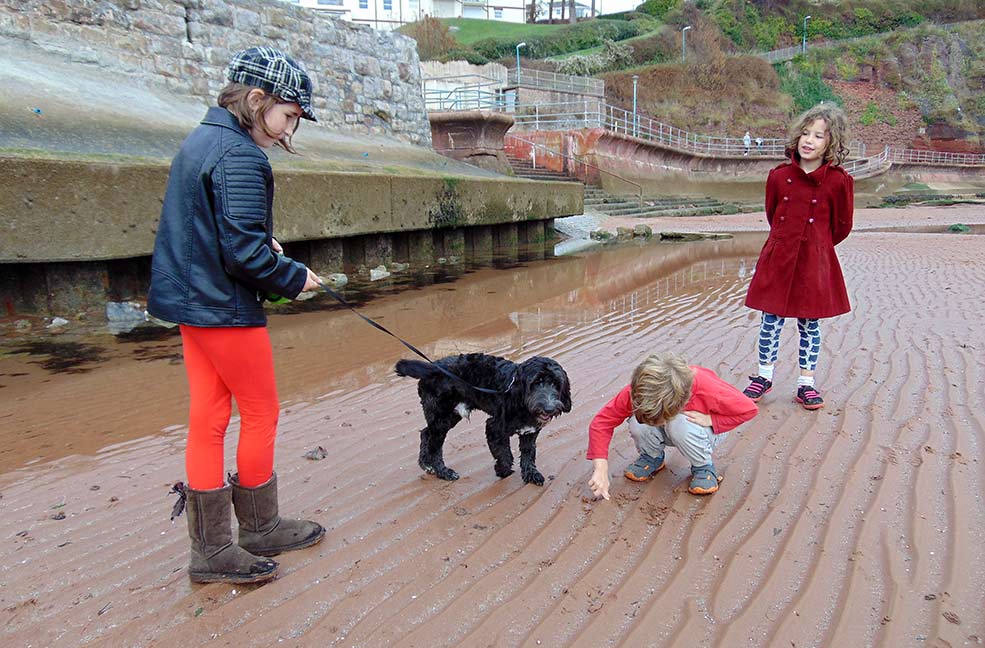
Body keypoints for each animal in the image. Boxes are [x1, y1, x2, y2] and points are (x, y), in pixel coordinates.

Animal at [396, 354, 572, 486]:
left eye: (556, 384)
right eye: (536, 382)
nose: (549, 408)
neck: (519, 397)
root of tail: (432, 368)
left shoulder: (529, 432)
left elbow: (528, 454)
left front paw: (531, 474)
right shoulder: (494, 428)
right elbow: (505, 454)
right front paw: (502, 471)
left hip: (449, 416)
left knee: (425, 433)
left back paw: (425, 464)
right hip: (442, 417)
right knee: (435, 447)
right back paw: (443, 472)